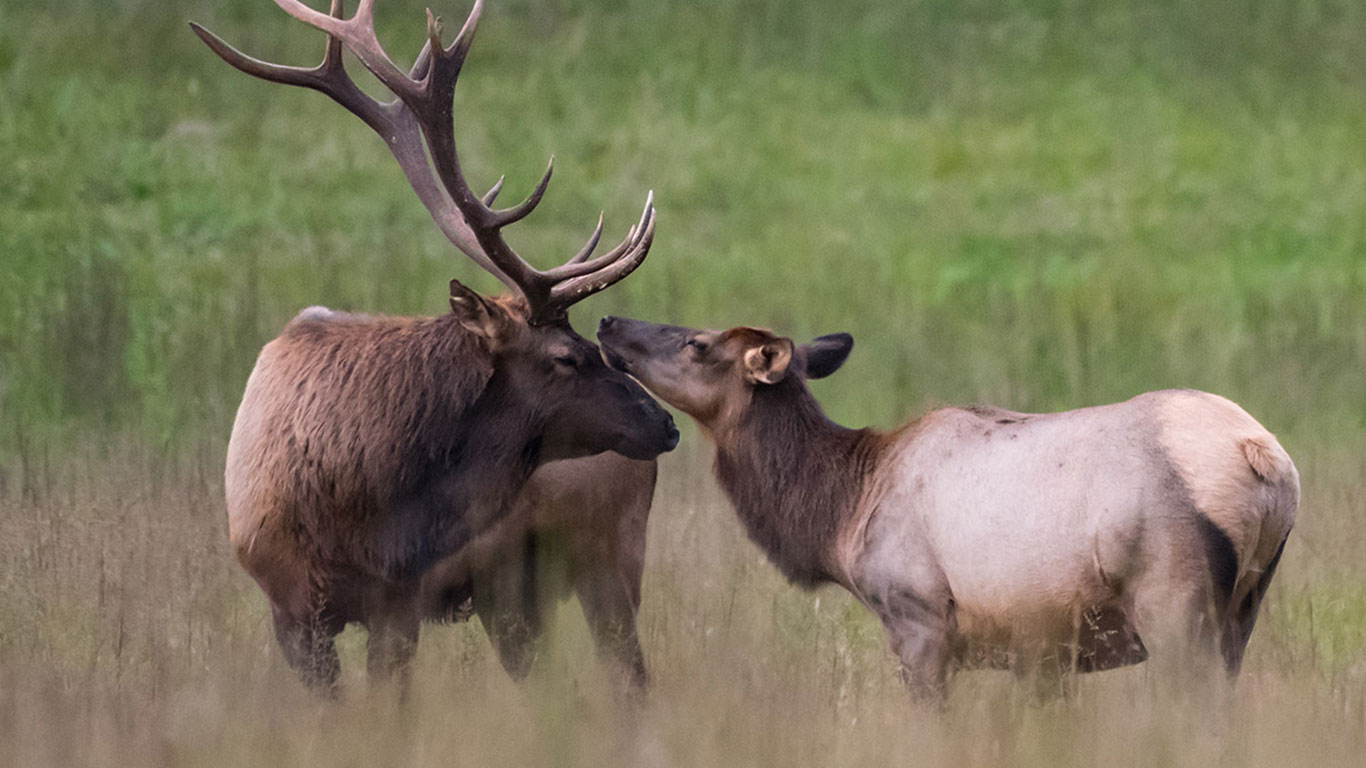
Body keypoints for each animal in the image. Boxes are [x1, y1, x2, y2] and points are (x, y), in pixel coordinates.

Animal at [195, 0, 680, 691]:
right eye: (567, 357)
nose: (665, 423)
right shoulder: (288, 607)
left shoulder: (399, 600)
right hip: (515, 595)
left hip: (609, 554)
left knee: (629, 679)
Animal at [601, 314, 1300, 696]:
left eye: (697, 343)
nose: (610, 324)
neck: (843, 511)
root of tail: (1265, 460)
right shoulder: (1041, 653)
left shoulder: (919, 619)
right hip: (1243, 613)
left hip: (1175, 601)